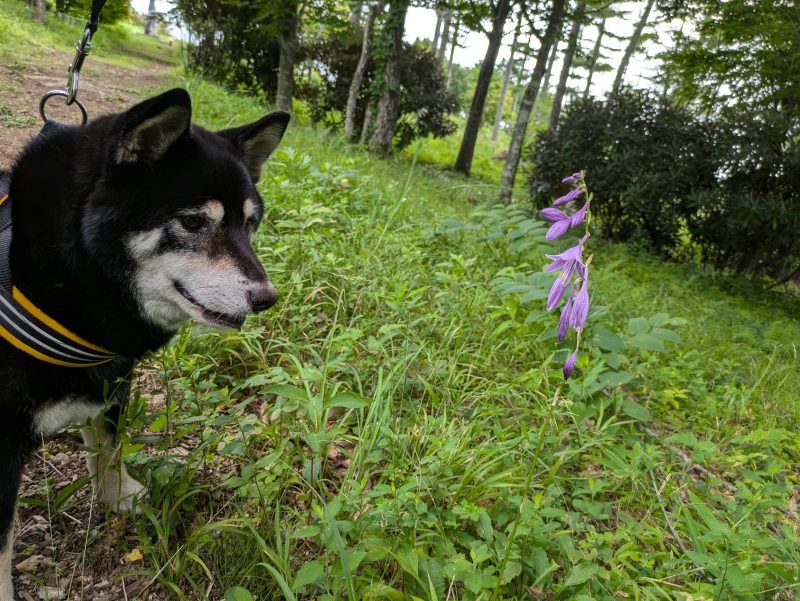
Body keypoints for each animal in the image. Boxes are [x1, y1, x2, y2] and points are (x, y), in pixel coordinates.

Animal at [0, 86, 290, 596]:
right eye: (193, 223)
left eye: (251, 224)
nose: (266, 298)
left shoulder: (110, 383)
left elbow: (109, 447)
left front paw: (119, 496)